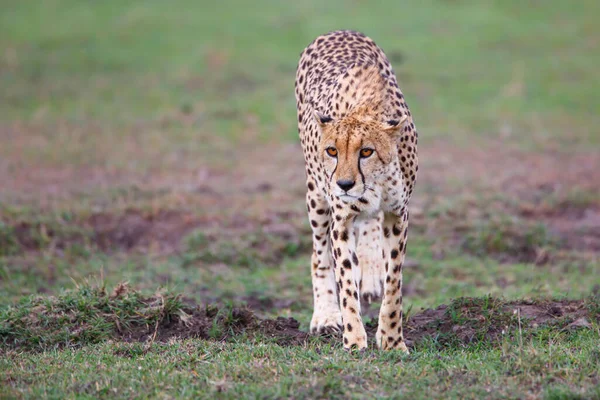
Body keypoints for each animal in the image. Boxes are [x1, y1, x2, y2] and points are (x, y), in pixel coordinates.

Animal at [294, 31, 418, 350]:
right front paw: (353, 339)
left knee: (370, 226)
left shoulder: (397, 214)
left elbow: (394, 282)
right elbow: (345, 281)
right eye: (332, 151)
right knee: (319, 254)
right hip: (316, 197)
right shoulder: (341, 219)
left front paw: (392, 340)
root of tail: (338, 31)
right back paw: (325, 315)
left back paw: (371, 273)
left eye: (366, 151)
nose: (344, 184)